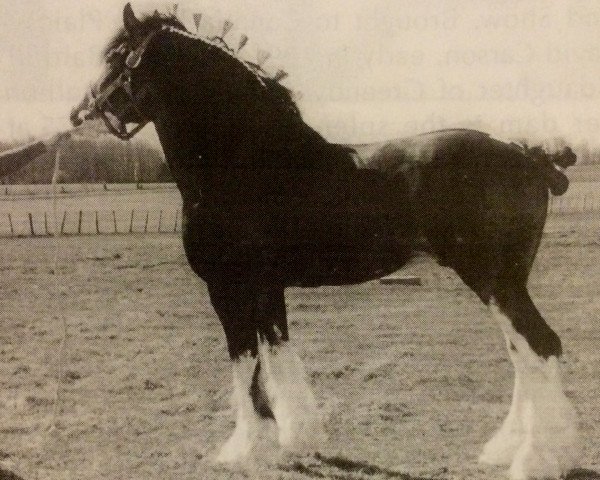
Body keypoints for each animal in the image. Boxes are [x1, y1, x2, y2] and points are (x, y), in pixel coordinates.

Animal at [70, 4, 580, 480]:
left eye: (116, 57)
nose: (81, 112)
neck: (246, 164)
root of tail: (528, 155)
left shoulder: (229, 288)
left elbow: (244, 362)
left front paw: (242, 449)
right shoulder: (267, 288)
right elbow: (277, 353)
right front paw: (299, 438)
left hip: (494, 279)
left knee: (540, 345)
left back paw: (535, 460)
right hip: (503, 282)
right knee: (522, 352)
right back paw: (506, 449)